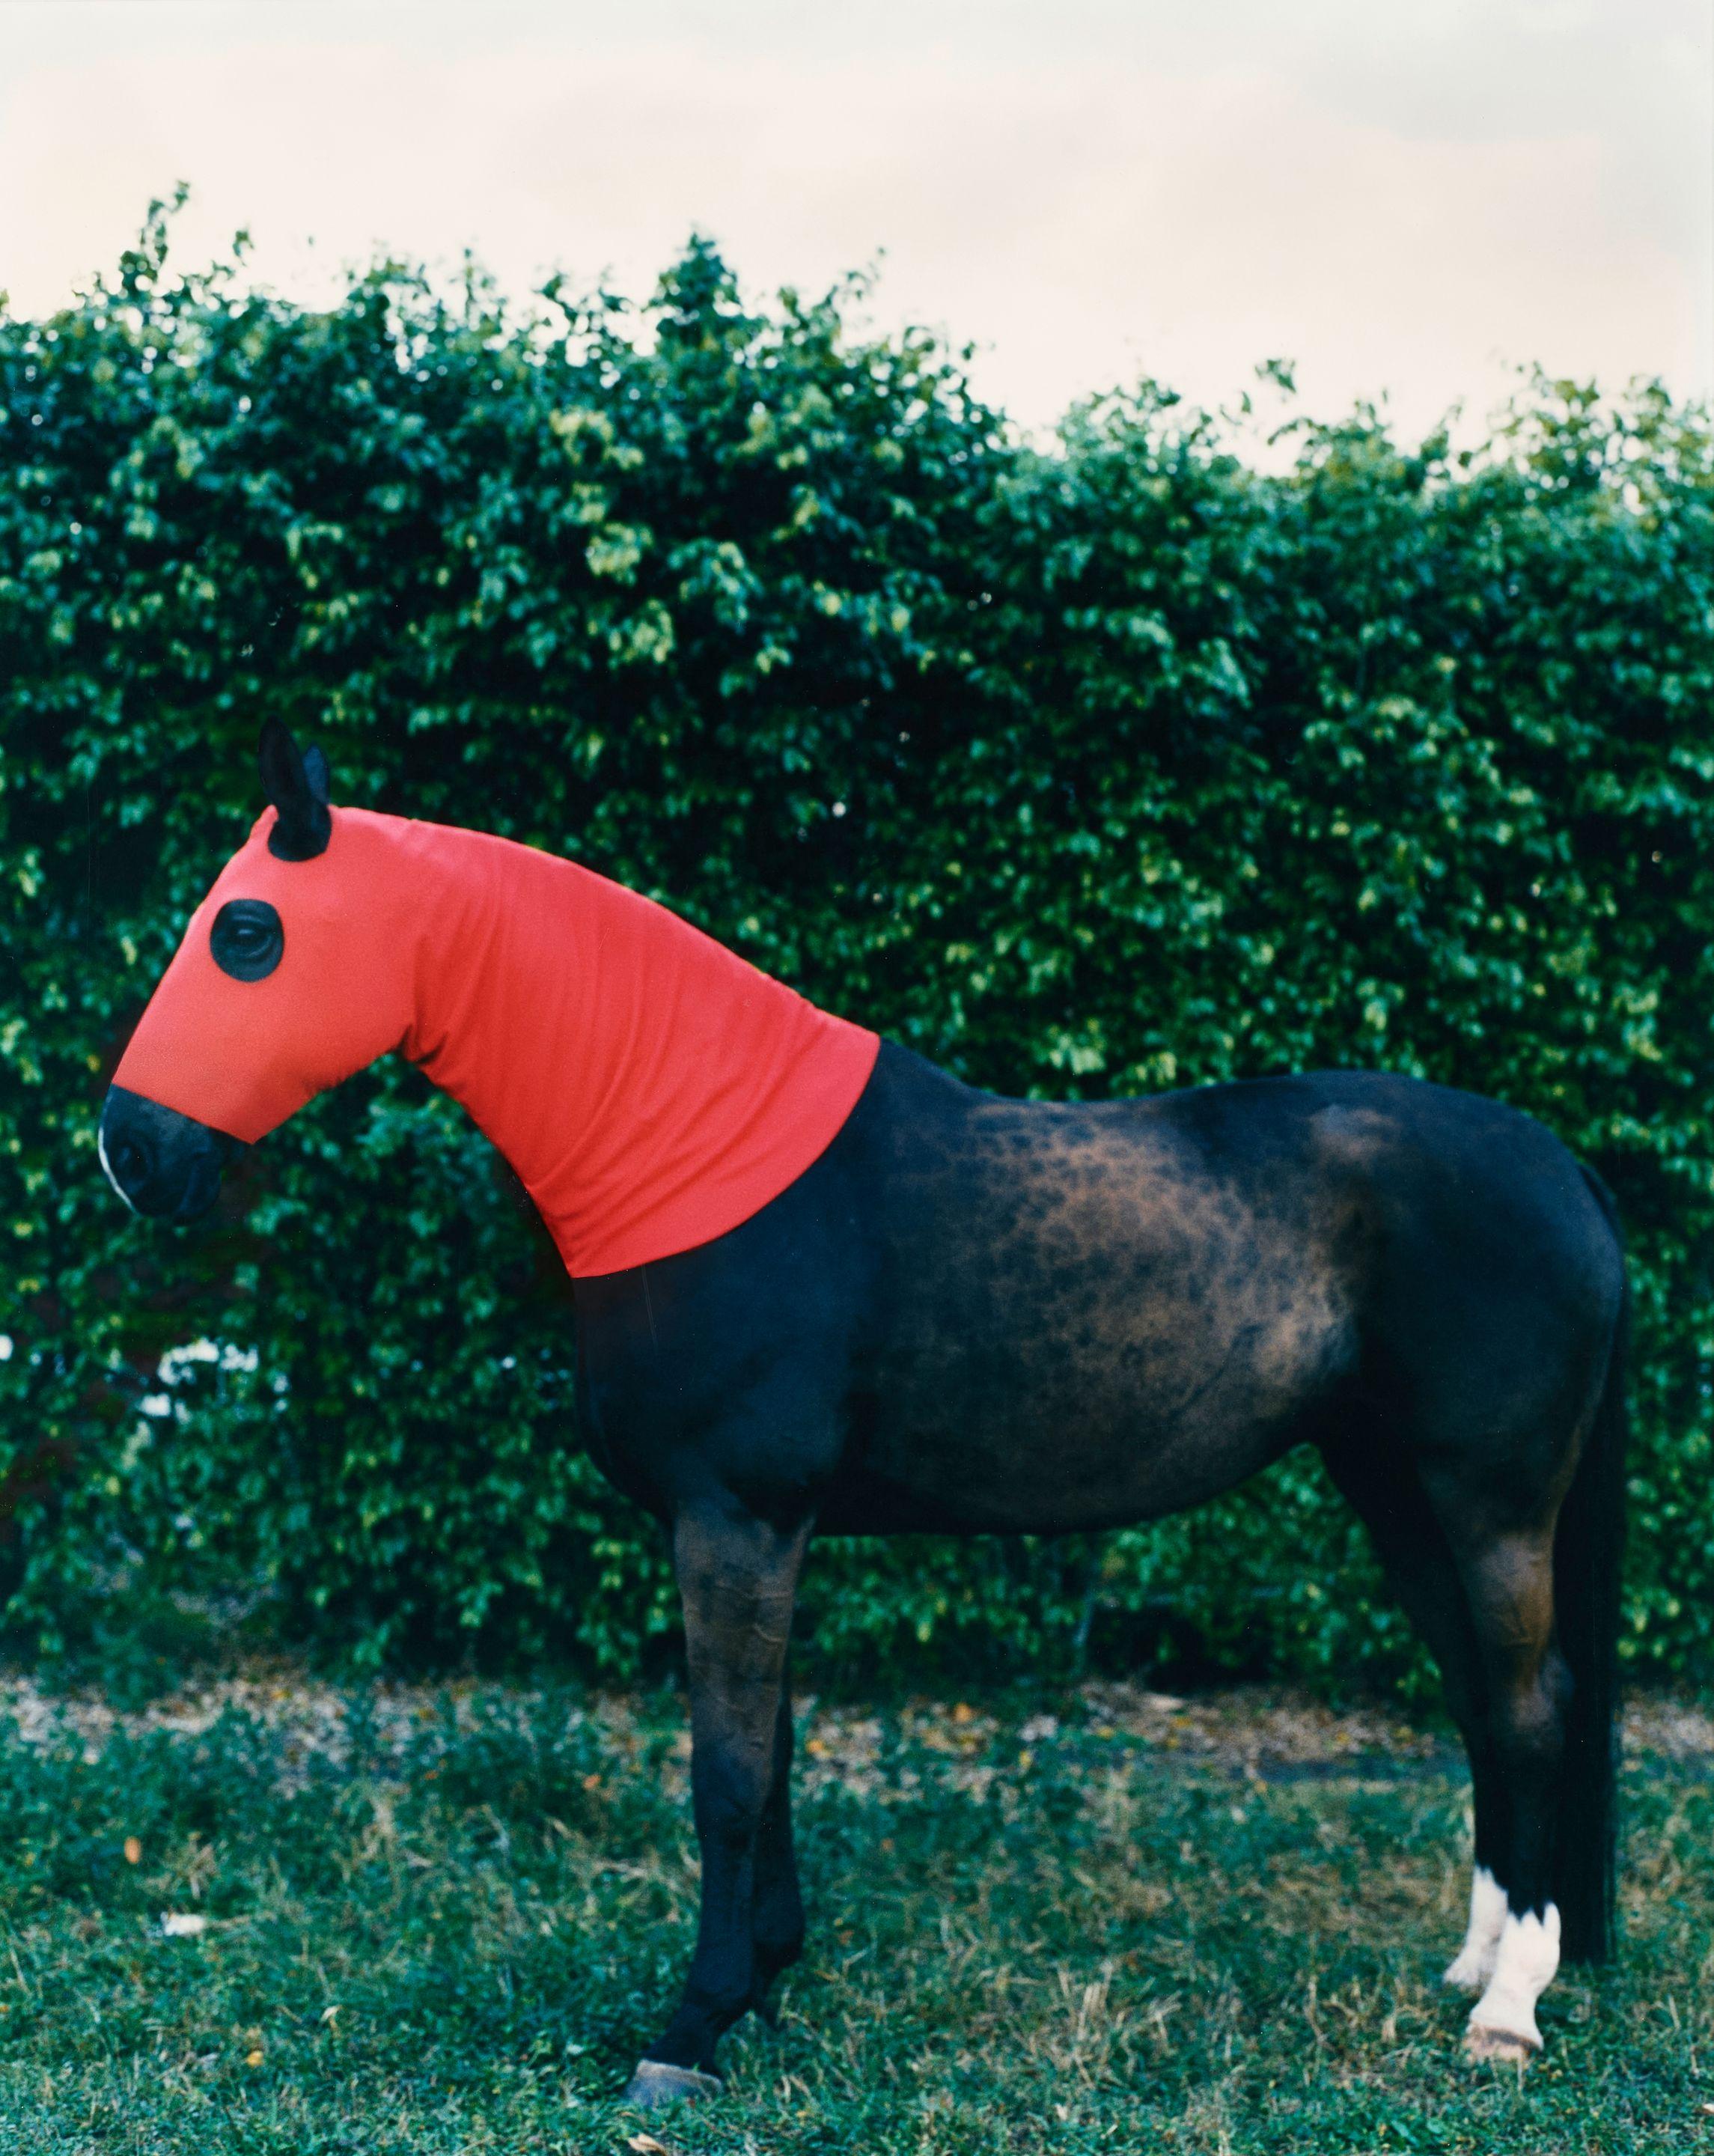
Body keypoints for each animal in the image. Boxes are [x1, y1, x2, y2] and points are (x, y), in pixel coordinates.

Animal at [98, 722, 1628, 2107]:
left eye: (247, 932)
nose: (133, 1156)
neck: (697, 1151)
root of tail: (1567, 1171)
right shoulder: (755, 1532)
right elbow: (769, 1760)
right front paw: (762, 1986)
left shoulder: (736, 1520)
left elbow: (725, 1776)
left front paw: (689, 2031)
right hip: (1394, 1489)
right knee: (1483, 1702)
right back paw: (1474, 1962)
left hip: (1487, 1502)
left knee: (1529, 1709)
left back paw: (1507, 2012)